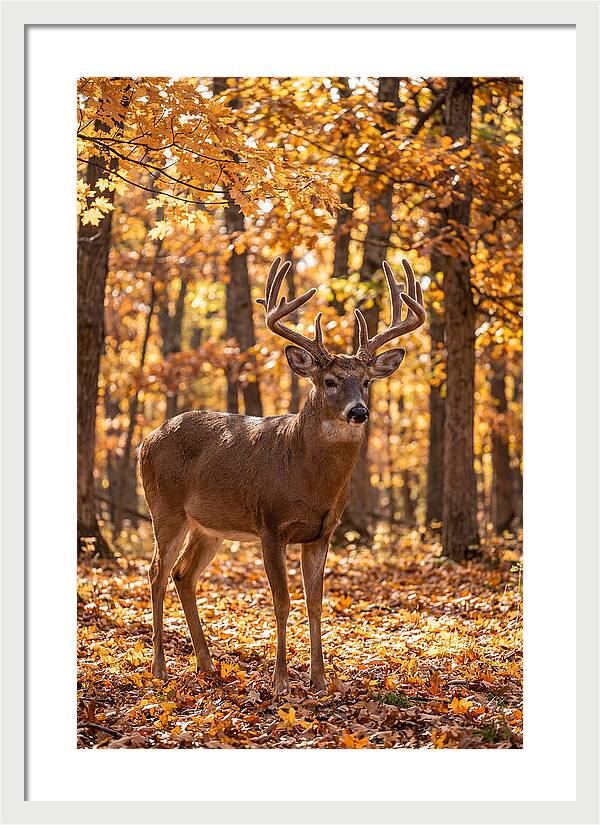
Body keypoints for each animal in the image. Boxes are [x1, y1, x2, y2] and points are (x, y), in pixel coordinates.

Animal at [139, 257, 426, 693]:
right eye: (329, 381)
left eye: (366, 381)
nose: (359, 411)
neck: (306, 476)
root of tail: (146, 440)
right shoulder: (270, 524)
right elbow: (282, 601)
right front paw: (280, 682)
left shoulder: (322, 532)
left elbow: (315, 603)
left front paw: (320, 680)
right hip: (165, 508)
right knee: (156, 572)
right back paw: (159, 668)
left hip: (209, 525)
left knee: (183, 574)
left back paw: (206, 664)